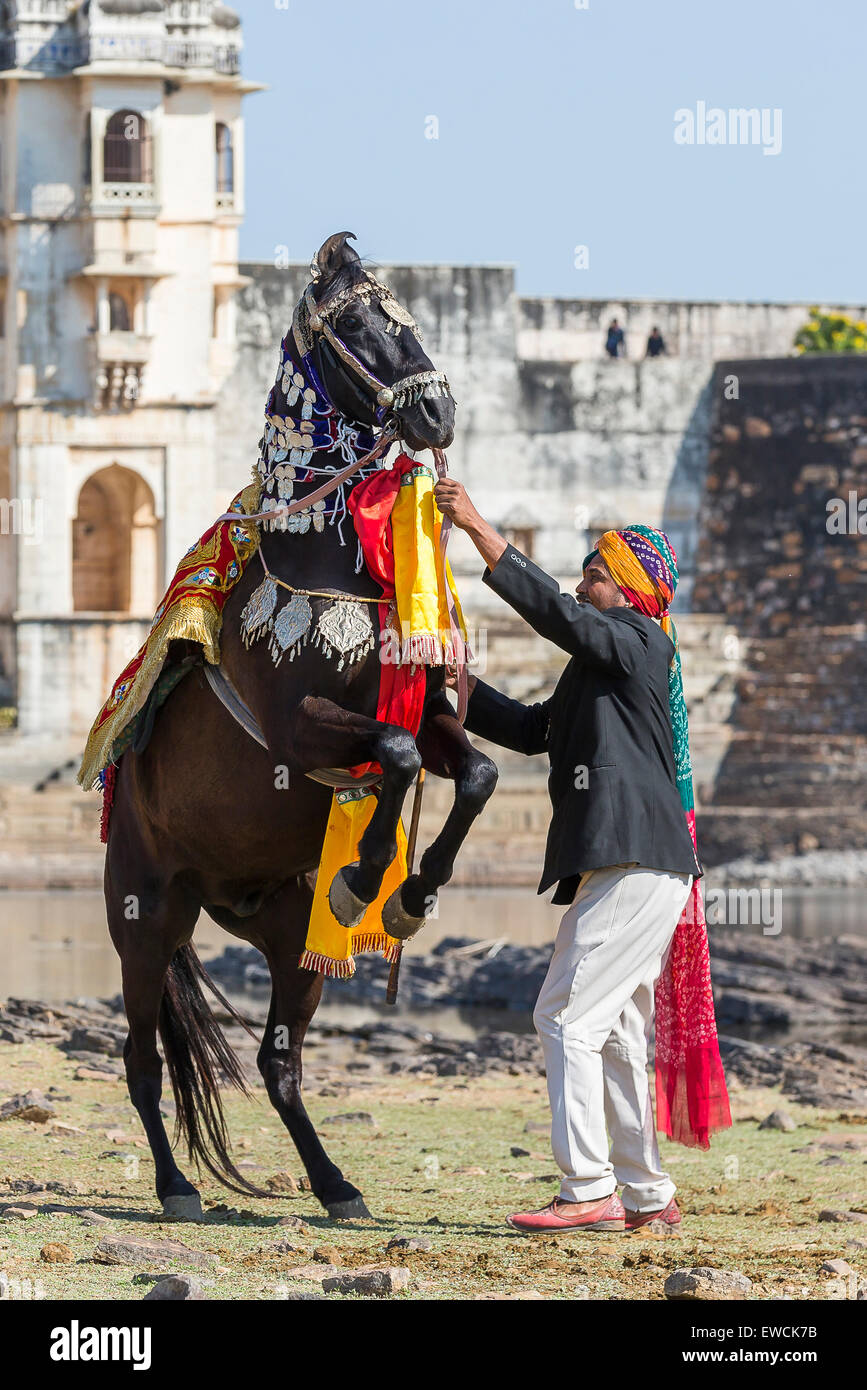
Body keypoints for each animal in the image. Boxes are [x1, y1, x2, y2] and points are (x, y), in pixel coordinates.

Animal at [104, 231, 498, 1220]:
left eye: (407, 315)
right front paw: (366, 877)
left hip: (284, 938)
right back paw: (176, 1187)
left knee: (276, 1063)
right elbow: (394, 752)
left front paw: (408, 892)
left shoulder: (432, 714)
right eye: (355, 324)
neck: (326, 560)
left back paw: (337, 1186)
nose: (435, 410)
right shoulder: (298, 734)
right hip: (145, 914)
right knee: (139, 1057)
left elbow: (470, 771)